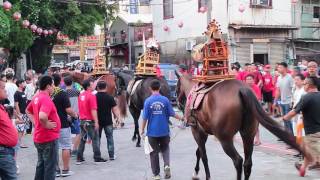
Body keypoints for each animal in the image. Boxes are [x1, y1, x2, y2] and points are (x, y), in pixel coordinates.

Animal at [175, 73, 310, 180]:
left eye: (176, 86)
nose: (178, 102)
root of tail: (241, 89)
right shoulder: (203, 132)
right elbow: (199, 152)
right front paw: (196, 172)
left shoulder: (197, 131)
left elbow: (203, 155)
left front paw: (202, 175)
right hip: (248, 135)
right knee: (247, 163)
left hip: (225, 139)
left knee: (238, 161)